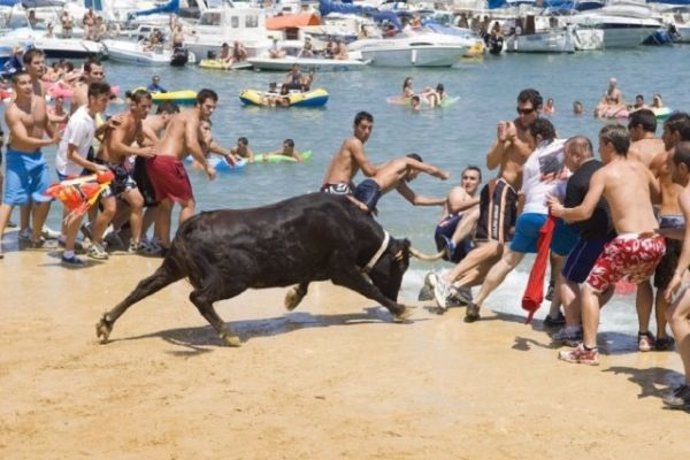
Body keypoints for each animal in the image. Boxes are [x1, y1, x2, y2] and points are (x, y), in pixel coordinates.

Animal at [95, 192, 440, 346]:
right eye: (401, 266)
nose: (396, 292)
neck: (347, 222)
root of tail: (192, 224)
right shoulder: (342, 269)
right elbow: (368, 288)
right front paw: (400, 309)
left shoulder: (317, 265)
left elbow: (305, 282)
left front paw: (292, 298)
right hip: (232, 279)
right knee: (199, 298)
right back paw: (229, 334)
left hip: (173, 266)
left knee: (143, 286)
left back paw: (106, 324)